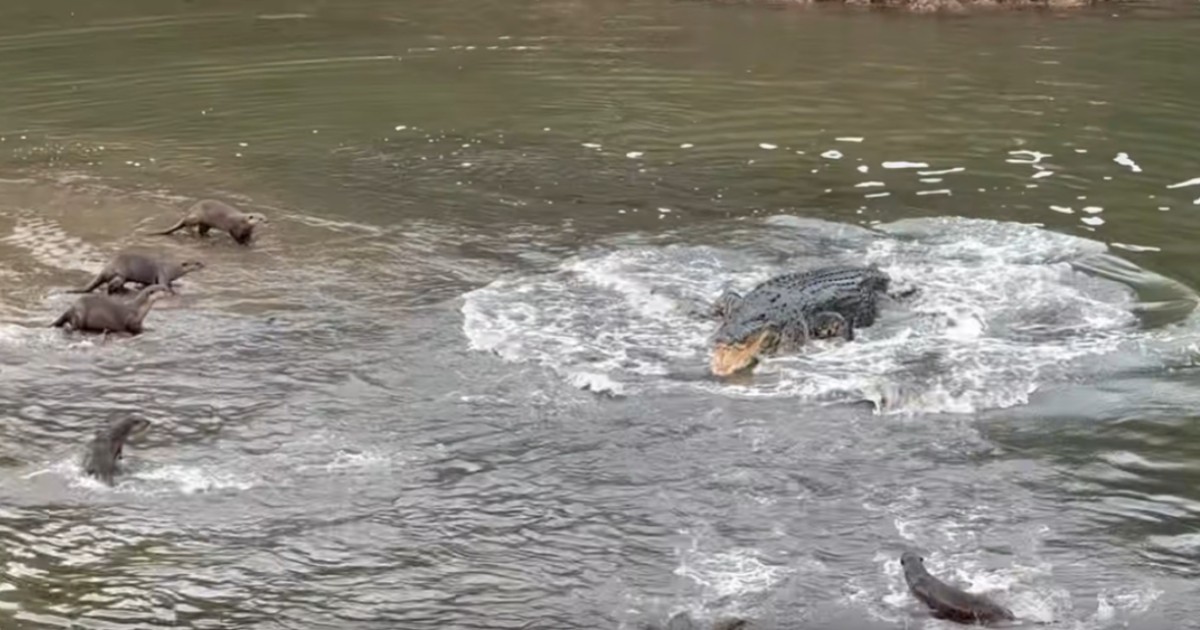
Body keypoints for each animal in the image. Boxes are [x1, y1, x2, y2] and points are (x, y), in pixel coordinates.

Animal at [68, 252, 204, 295]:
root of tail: (106, 267)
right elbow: (164, 285)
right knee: (111, 284)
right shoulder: (163, 274)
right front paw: (173, 292)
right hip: (120, 274)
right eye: (197, 263)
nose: (204, 264)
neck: (172, 268)